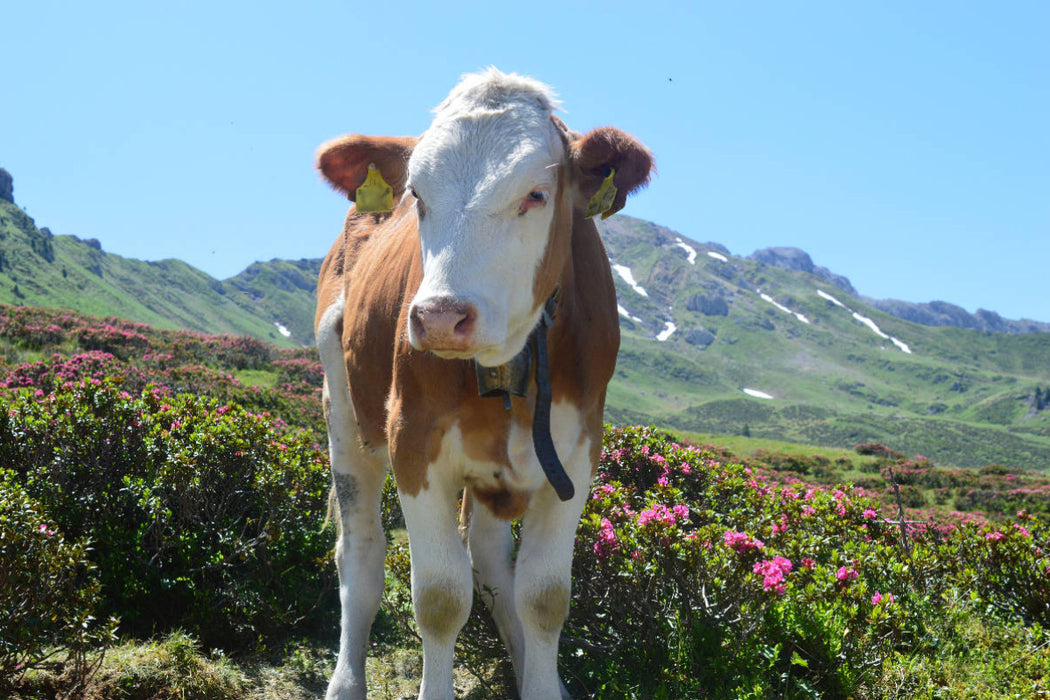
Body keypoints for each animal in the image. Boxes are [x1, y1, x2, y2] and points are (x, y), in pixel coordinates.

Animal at [314, 68, 653, 699]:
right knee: (361, 554)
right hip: (344, 413)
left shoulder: (577, 452)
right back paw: (346, 682)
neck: (509, 366)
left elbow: (543, 598)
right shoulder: (413, 443)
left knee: (493, 561)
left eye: (536, 195)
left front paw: (544, 685)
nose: (440, 316)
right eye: (417, 196)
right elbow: (441, 598)